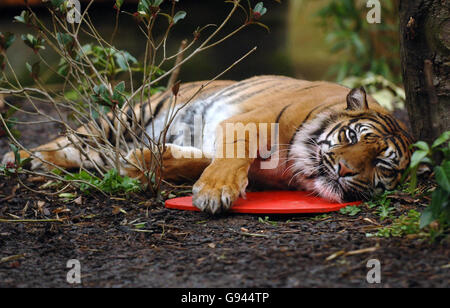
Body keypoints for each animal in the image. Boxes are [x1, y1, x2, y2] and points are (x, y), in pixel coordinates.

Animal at [1, 75, 414, 214]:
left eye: (382, 165)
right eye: (351, 136)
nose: (343, 170)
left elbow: (195, 161)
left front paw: (141, 162)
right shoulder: (248, 122)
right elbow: (233, 157)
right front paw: (215, 193)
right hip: (123, 119)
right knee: (68, 138)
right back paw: (20, 159)